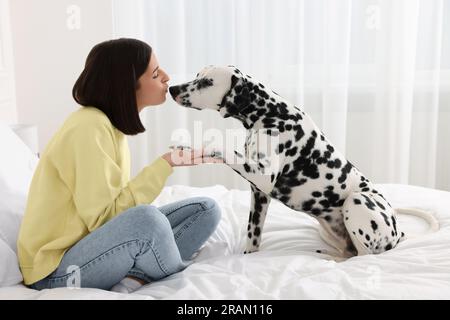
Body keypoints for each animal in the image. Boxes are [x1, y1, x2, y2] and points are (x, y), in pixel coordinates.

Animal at [167, 66, 438, 258]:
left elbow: (220, 149)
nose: (172, 89)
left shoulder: (262, 176)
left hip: (357, 201)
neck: (271, 113)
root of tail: (398, 233)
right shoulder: (259, 193)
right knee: (350, 252)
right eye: (197, 75)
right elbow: (253, 235)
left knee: (363, 255)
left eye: (207, 82)